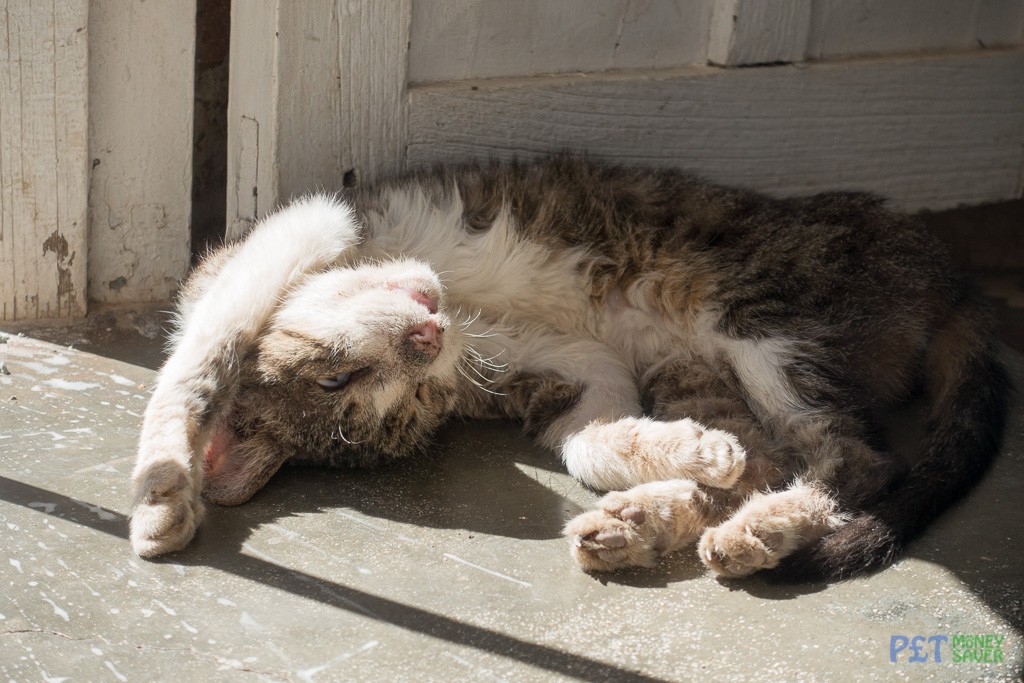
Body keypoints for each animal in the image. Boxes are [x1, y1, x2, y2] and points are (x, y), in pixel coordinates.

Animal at [128, 157, 1007, 581]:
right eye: (374, 391)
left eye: (335, 380)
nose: (428, 338)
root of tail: (950, 277)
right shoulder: (561, 359)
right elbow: (585, 435)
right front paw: (677, 453)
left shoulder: (306, 226)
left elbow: (204, 351)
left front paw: (162, 485)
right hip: (699, 361)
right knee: (766, 455)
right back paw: (651, 520)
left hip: (761, 319)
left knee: (854, 458)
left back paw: (749, 528)